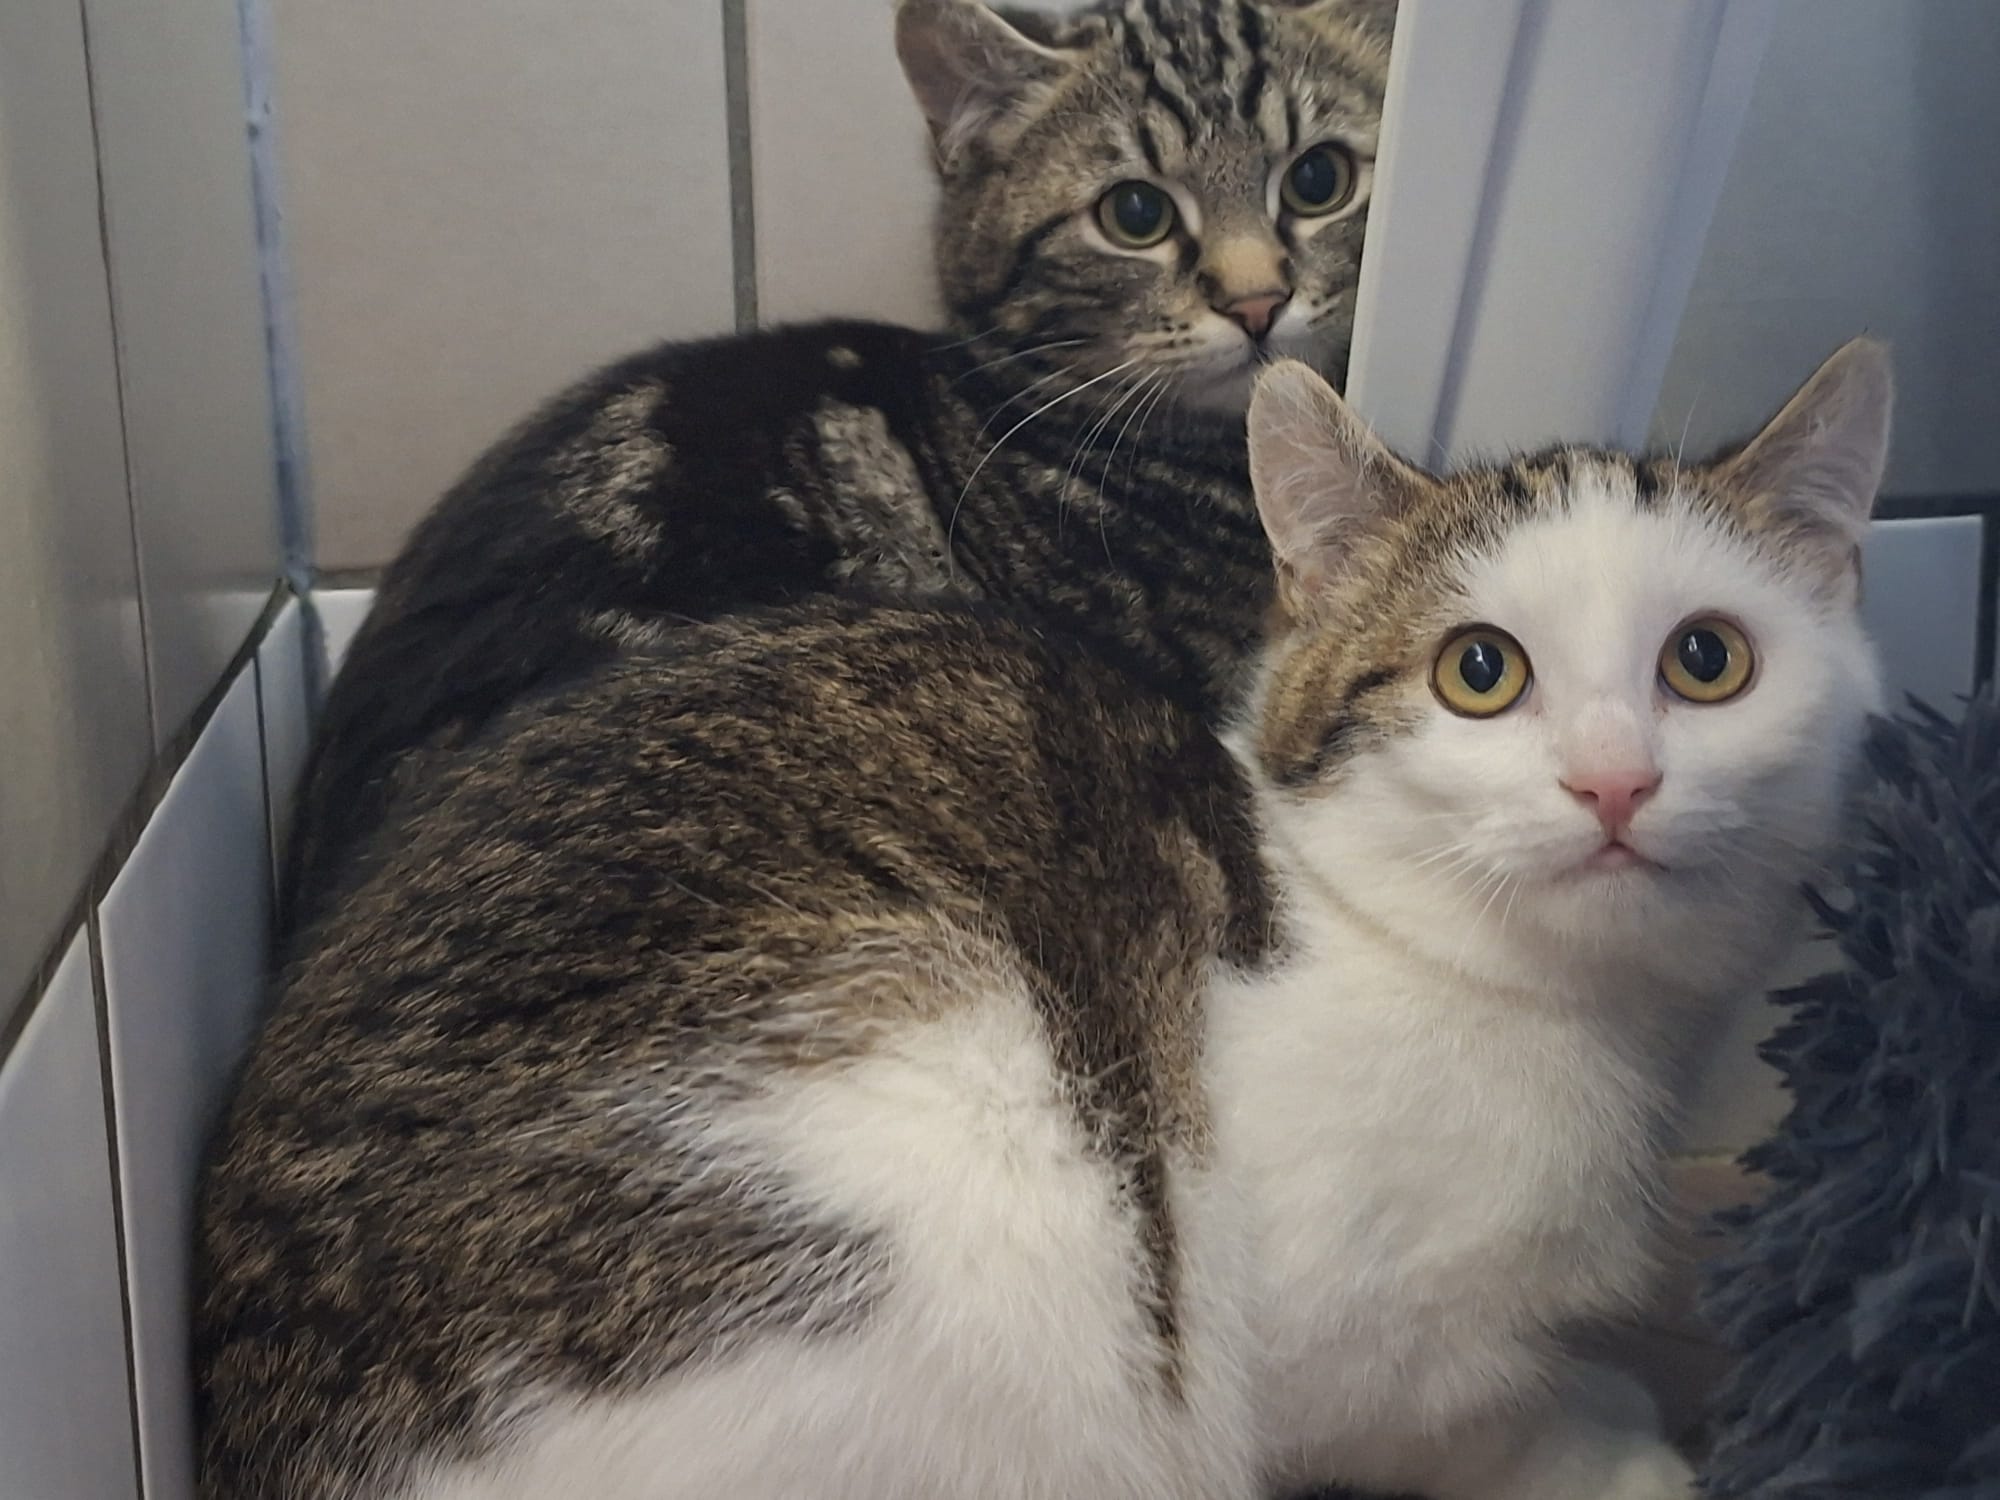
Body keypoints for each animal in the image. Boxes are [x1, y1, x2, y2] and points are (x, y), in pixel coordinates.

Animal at [197, 338, 1893, 1500]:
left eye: (1708, 660)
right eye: (1481, 670)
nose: (1616, 781)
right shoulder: (1330, 1345)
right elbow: (1452, 1414)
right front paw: (1608, 1443)